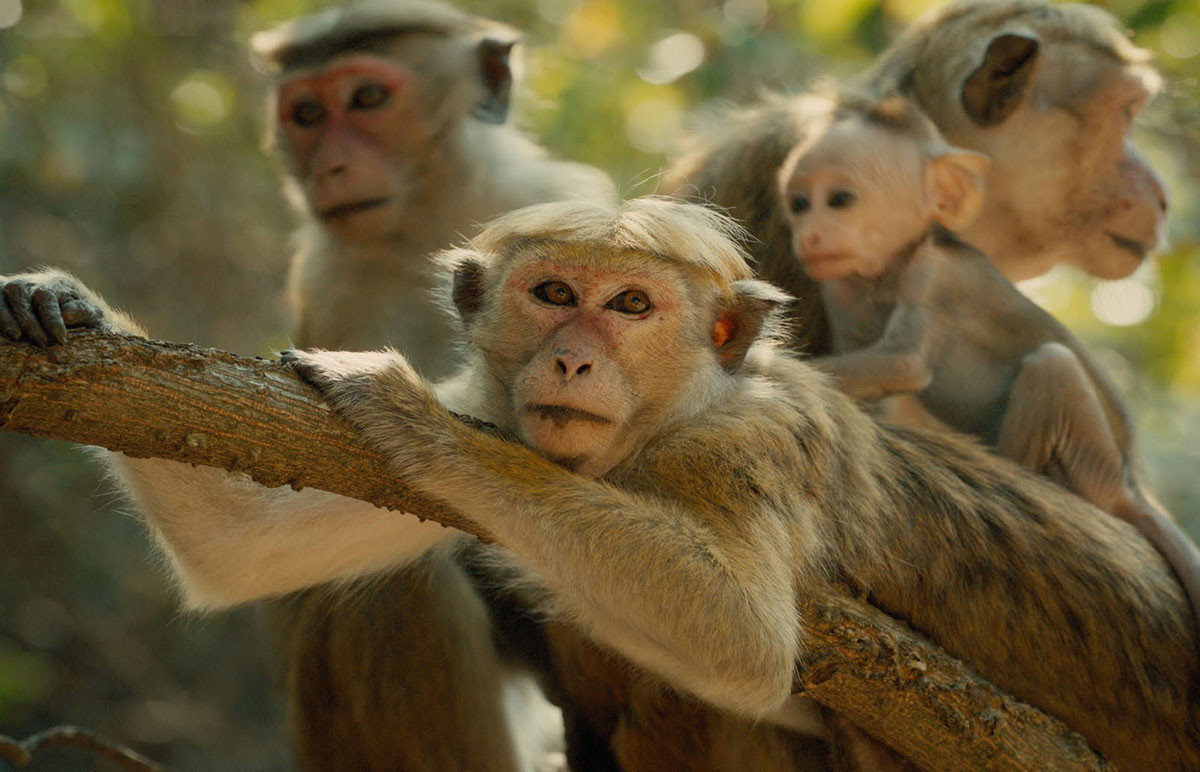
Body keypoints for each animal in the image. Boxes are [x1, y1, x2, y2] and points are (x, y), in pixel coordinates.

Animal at [4, 198, 1195, 768]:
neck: (652, 433)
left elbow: (740, 637)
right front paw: (62, 300)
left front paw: (409, 415)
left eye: (630, 305)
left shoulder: (747, 445)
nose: (574, 358)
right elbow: (241, 542)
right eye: (554, 293)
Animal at [772, 87, 1200, 638]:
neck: (887, 271)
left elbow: (904, 363)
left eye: (840, 200)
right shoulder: (840, 288)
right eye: (799, 204)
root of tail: (1131, 484)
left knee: (1052, 363)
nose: (808, 236)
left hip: (1095, 467)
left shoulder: (933, 275)